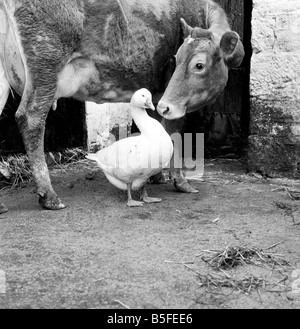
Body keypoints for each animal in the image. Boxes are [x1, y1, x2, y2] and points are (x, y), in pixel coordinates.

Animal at [0, 0, 244, 211]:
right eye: (177, 59)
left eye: (198, 65)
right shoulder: (172, 99)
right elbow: (173, 133)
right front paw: (180, 181)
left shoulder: (159, 95)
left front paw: (156, 176)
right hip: (46, 60)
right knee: (31, 118)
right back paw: (49, 196)